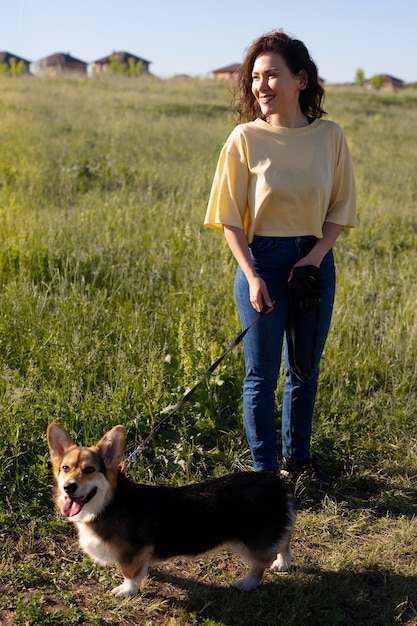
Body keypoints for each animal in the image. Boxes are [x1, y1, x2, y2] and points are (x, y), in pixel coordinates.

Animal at [47, 422, 296, 596]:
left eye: (89, 470)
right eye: (65, 468)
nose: (69, 487)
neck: (109, 503)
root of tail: (273, 480)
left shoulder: (130, 553)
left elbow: (130, 574)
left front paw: (127, 590)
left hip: (251, 540)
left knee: (261, 561)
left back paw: (249, 582)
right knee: (284, 541)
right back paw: (283, 562)